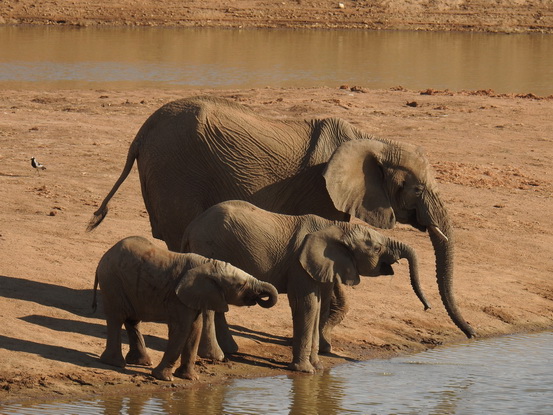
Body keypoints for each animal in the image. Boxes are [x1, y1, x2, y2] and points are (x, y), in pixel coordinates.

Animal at [87, 95, 475, 340]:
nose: (472, 333)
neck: (374, 142)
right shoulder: (320, 191)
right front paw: (326, 334)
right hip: (175, 171)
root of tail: (141, 133)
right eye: (417, 190)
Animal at [92, 235, 278, 381]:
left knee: (132, 320)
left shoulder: (194, 297)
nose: (260, 297)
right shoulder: (178, 297)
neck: (208, 264)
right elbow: (181, 329)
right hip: (112, 281)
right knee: (117, 317)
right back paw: (115, 363)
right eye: (241, 285)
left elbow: (195, 329)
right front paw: (164, 378)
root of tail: (104, 256)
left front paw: (189, 378)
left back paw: (141, 362)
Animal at [180, 200, 430, 373]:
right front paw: (305, 371)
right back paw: (216, 356)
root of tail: (191, 227)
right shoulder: (299, 265)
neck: (335, 227)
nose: (427, 307)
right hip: (210, 248)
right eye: (377, 249)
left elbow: (319, 305)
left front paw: (318, 367)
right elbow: (306, 304)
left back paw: (230, 351)